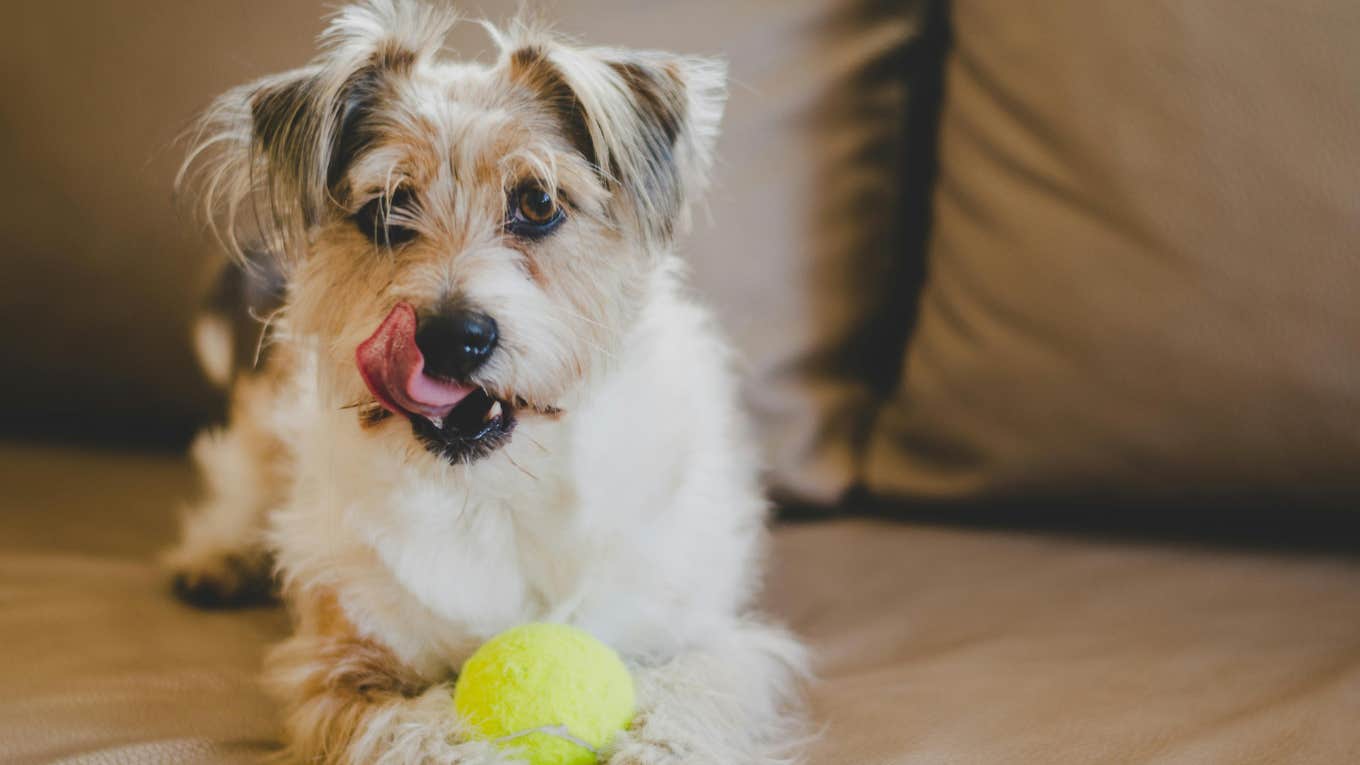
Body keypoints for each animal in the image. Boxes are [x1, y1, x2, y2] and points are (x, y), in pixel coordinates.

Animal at [165, 2, 810, 756]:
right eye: (385, 211)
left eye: (537, 203)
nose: (451, 338)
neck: (494, 494)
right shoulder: (339, 668)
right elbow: (419, 732)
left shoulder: (706, 641)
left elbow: (686, 703)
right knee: (239, 480)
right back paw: (217, 555)